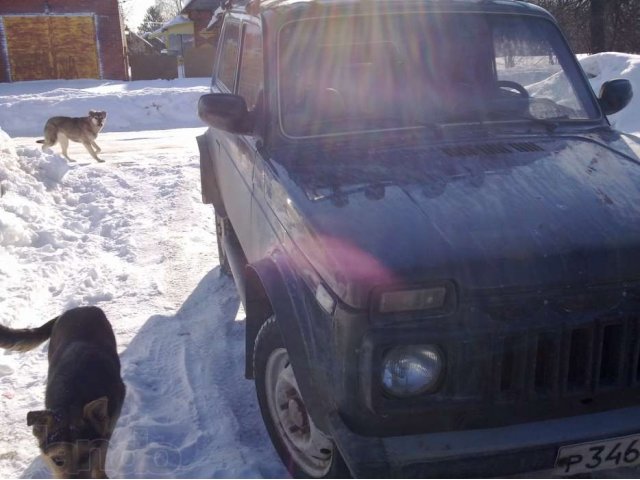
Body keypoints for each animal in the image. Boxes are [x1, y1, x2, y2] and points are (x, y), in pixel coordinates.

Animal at [0, 306, 125, 478]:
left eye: (86, 457)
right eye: (58, 461)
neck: (71, 400)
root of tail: (80, 308)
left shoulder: (107, 428)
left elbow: (100, 458)